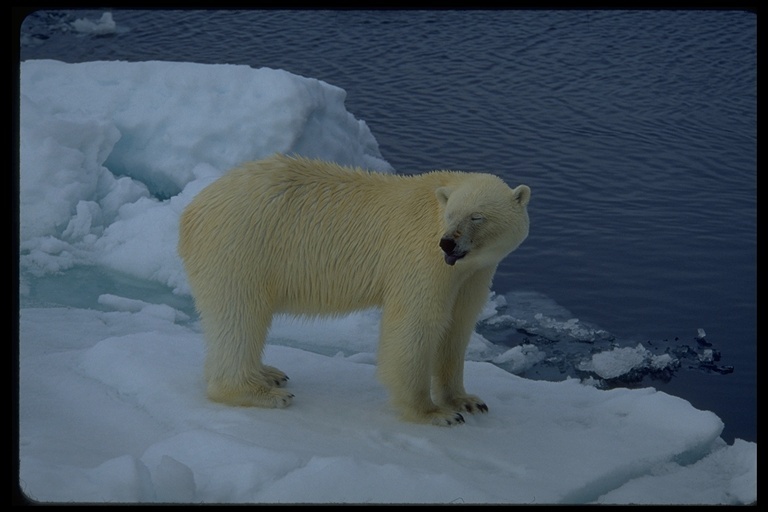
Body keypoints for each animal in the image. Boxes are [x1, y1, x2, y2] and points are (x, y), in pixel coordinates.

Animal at [178, 154, 532, 426]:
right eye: (450, 215)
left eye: (477, 216)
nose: (448, 242)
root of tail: (193, 209)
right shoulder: (422, 257)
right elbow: (417, 322)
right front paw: (433, 413)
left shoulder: (474, 272)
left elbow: (458, 325)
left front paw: (466, 401)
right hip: (242, 248)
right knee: (240, 316)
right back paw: (260, 391)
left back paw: (268, 373)